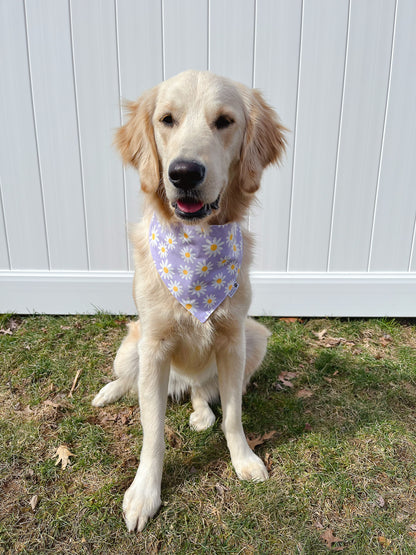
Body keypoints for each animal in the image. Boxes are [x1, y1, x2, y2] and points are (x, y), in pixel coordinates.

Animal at [91, 71, 286, 532]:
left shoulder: (233, 339)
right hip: (130, 346)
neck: (197, 244)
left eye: (225, 121)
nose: (183, 173)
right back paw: (108, 392)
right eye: (167, 119)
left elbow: (233, 415)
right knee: (128, 380)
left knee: (202, 389)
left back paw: (200, 412)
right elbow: (153, 434)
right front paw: (144, 493)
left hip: (256, 337)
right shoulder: (154, 345)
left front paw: (243, 459)